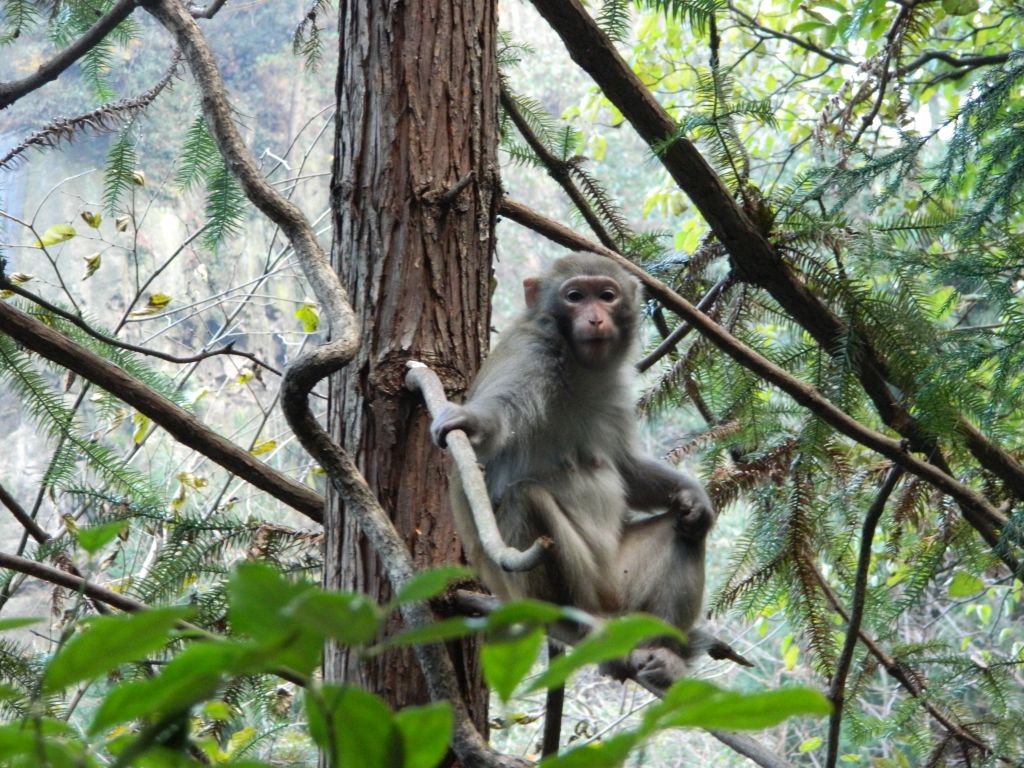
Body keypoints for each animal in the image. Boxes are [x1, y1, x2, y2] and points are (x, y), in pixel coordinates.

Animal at [430, 252, 712, 684]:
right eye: (575, 296)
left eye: (607, 296)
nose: (595, 318)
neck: (575, 364)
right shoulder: (529, 359)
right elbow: (495, 421)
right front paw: (468, 421)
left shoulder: (615, 390)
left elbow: (626, 469)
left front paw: (694, 496)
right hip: (557, 588)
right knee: (525, 498)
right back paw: (578, 628)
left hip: (618, 582)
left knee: (684, 531)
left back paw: (663, 651)